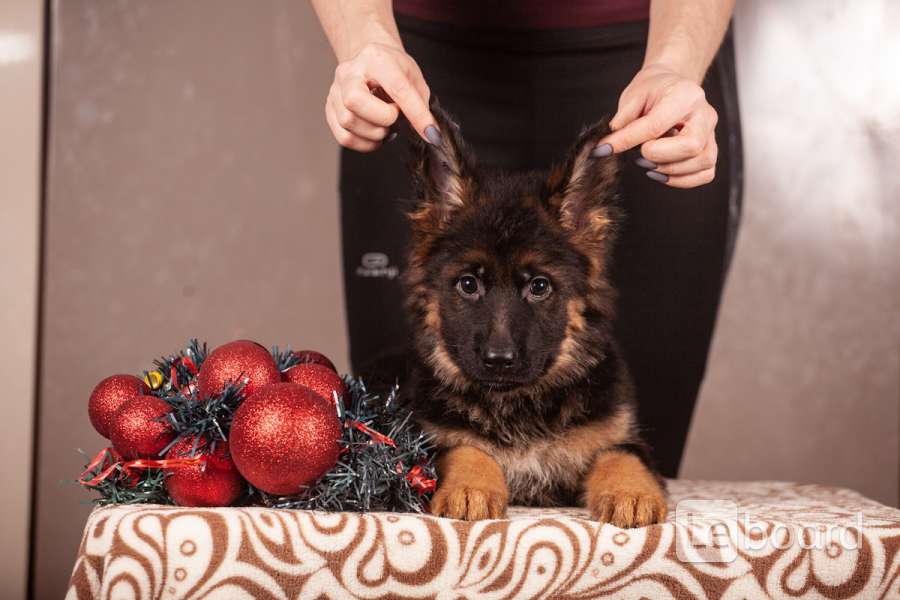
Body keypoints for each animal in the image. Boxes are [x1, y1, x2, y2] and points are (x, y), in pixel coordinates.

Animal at [398, 105, 664, 528]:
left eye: (539, 286)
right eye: (469, 284)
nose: (499, 361)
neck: (519, 405)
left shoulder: (622, 436)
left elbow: (620, 455)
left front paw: (631, 494)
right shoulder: (426, 438)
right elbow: (464, 448)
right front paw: (470, 488)